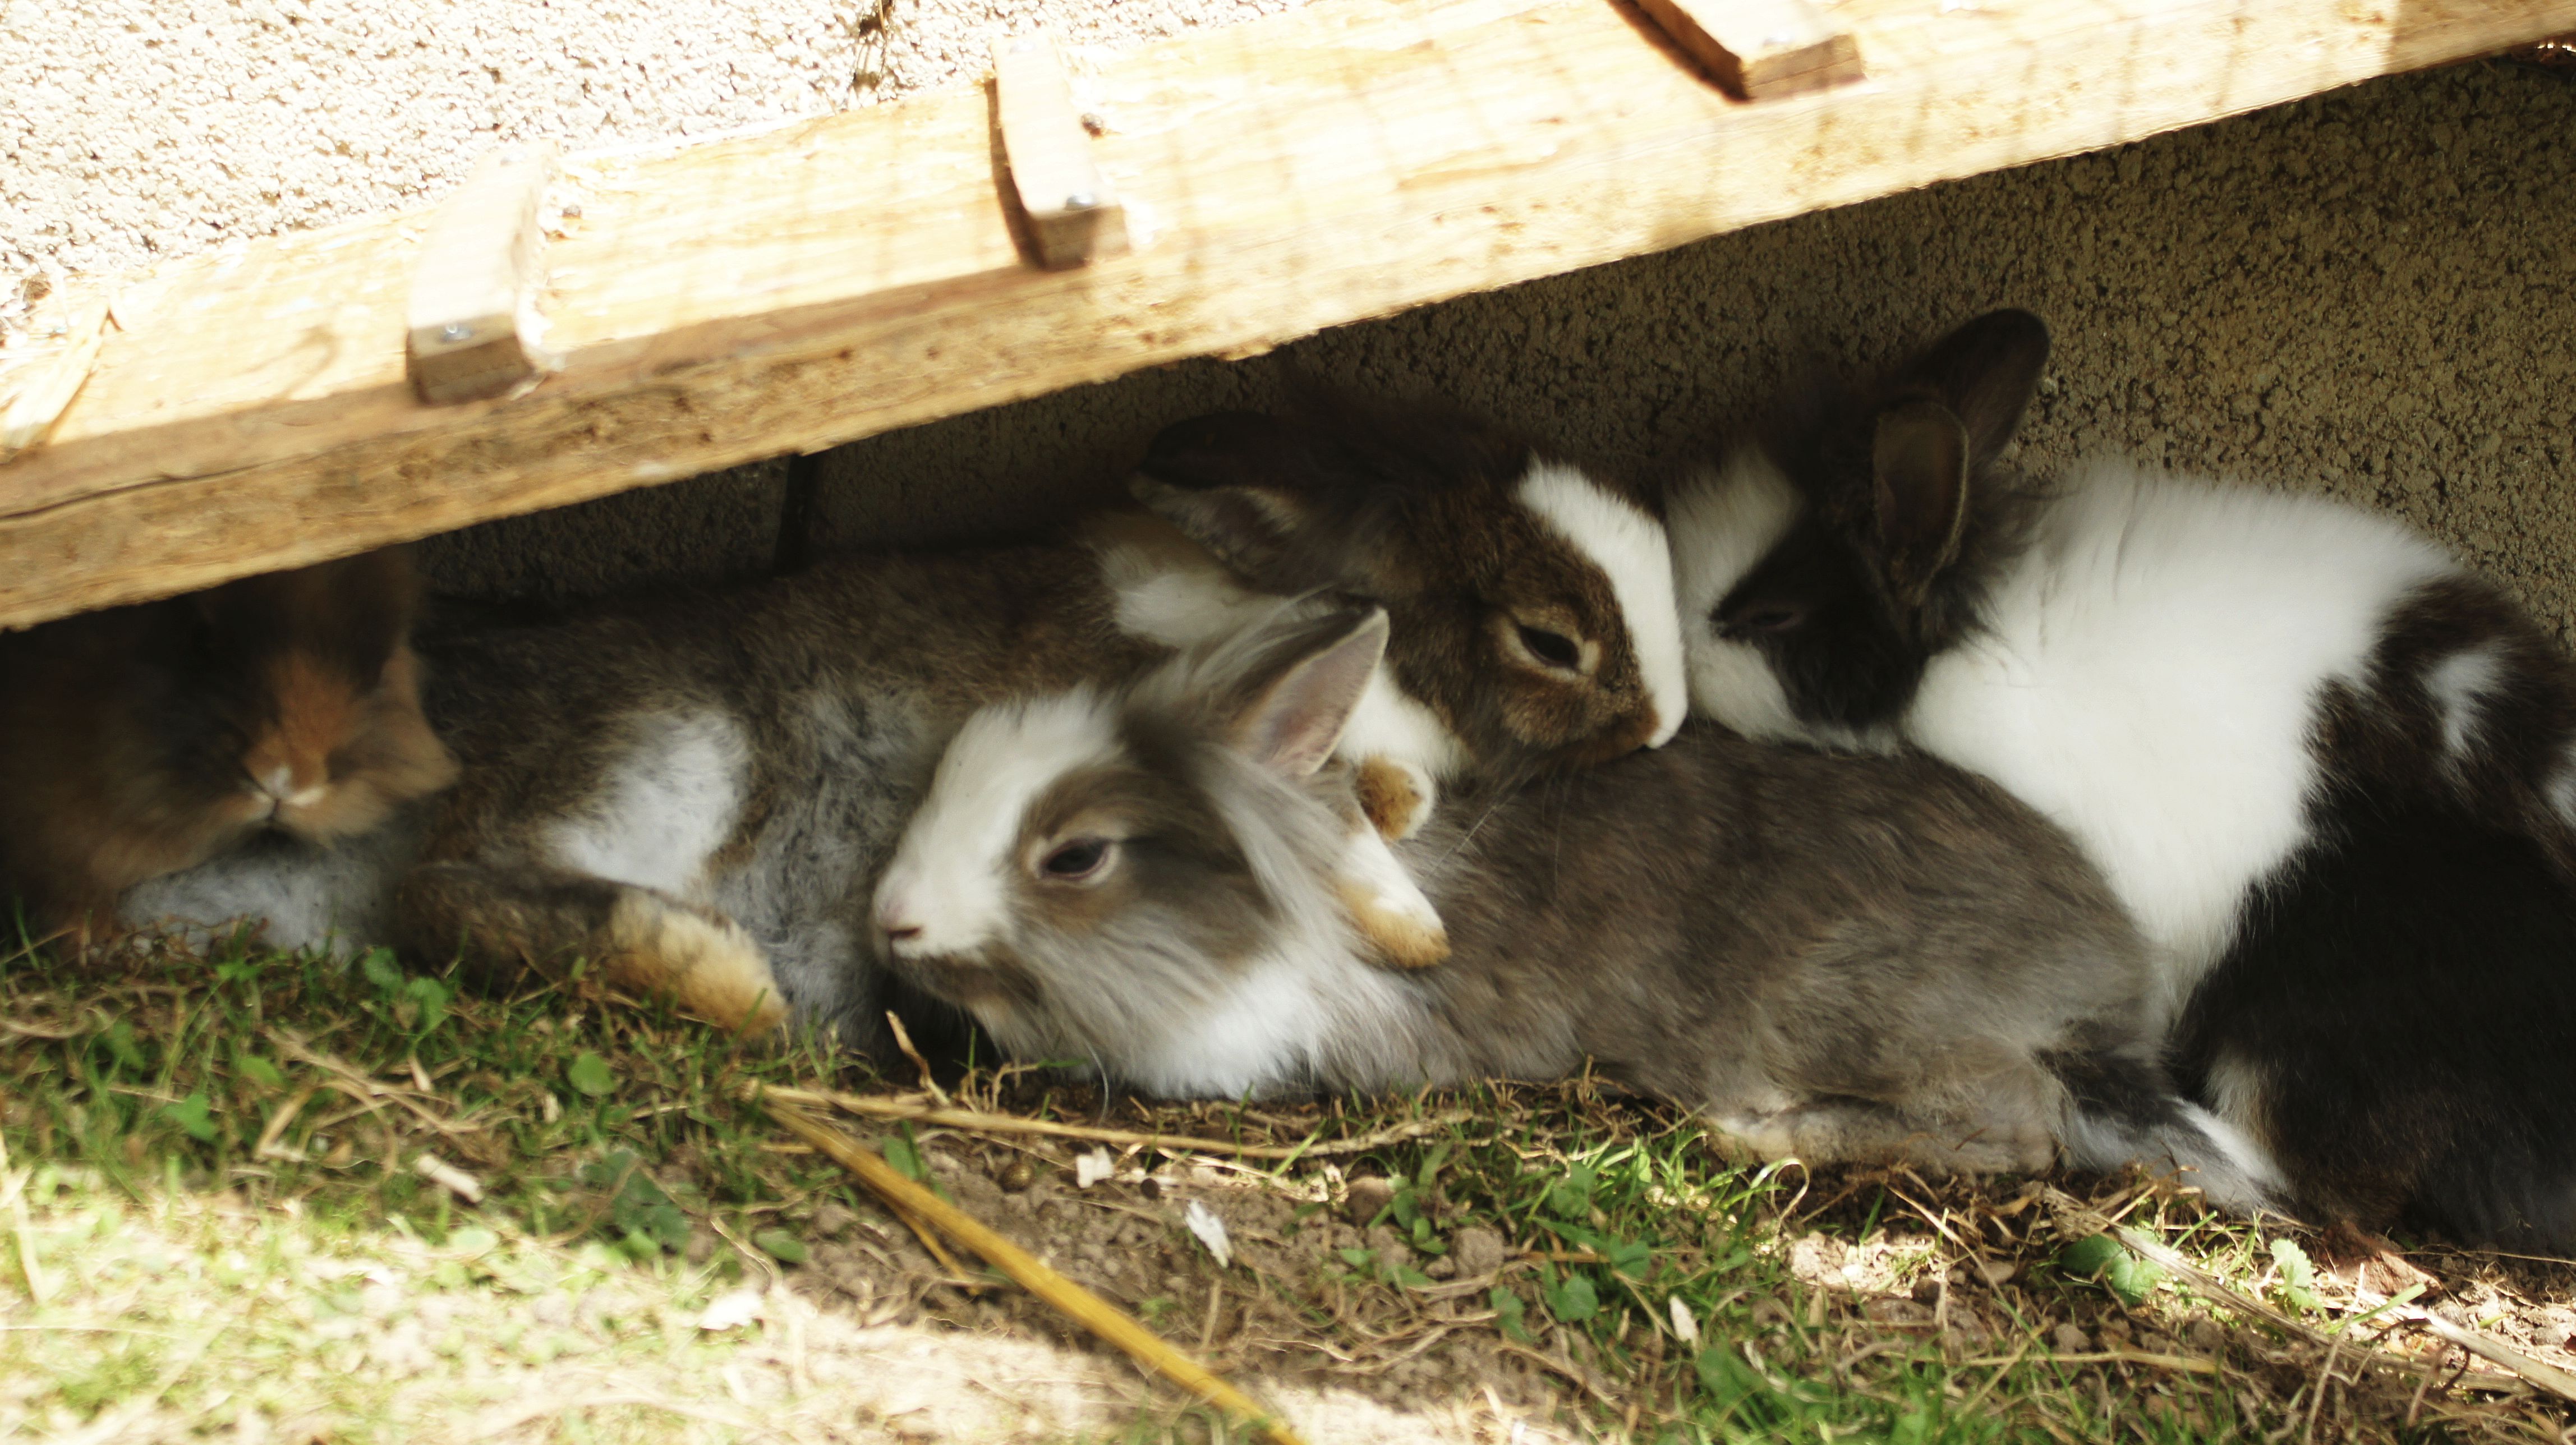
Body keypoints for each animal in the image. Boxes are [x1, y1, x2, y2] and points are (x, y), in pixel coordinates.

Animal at [125, 394, 1690, 1061]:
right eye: (1552, 639)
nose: (1669, 723)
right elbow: (1342, 836)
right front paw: (1411, 926)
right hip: (666, 746)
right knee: (448, 892)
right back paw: (714, 974)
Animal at [871, 602, 2277, 1211]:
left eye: (1076, 857)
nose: (891, 917)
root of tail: (2103, 997)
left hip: (1860, 1010)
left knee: (2016, 1124)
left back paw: (1763, 1134)